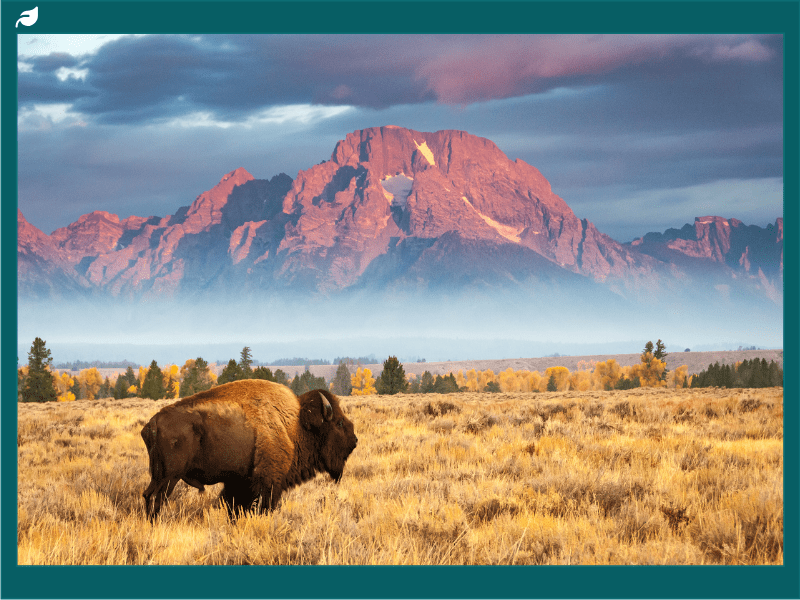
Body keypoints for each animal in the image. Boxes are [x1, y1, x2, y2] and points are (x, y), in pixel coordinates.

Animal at [140, 379, 358, 519]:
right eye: (338, 423)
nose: (354, 440)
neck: (295, 424)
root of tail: (153, 423)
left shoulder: (238, 482)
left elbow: (233, 507)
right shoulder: (268, 482)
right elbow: (262, 506)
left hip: (158, 476)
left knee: (147, 495)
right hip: (169, 478)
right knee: (157, 499)